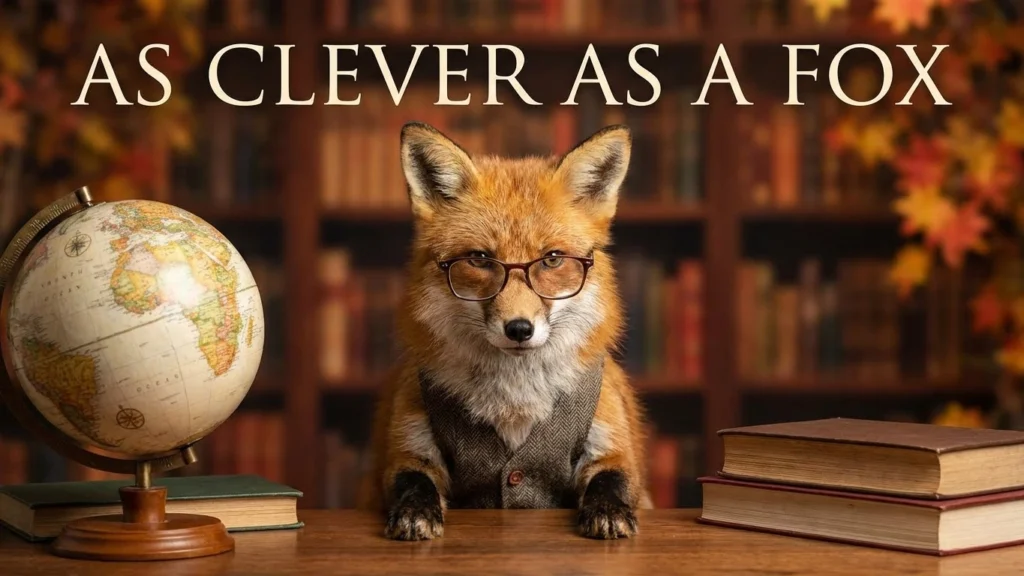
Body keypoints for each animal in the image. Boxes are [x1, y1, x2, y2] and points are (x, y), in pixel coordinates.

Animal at [357, 121, 651, 541]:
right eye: (480, 259)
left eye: (552, 259)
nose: (519, 329)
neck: (515, 400)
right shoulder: (407, 447)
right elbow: (412, 482)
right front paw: (415, 512)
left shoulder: (613, 445)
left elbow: (612, 482)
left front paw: (608, 512)